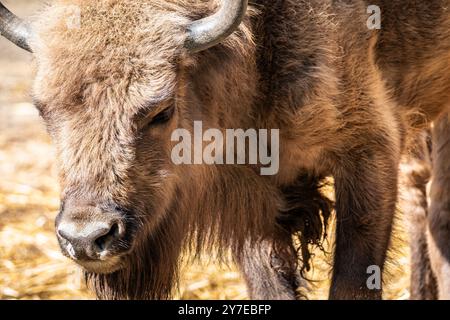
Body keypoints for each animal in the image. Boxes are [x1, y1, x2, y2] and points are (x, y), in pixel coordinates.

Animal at [0, 0, 450, 300]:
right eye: (42, 109)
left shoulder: (369, 148)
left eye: (162, 110)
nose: (87, 238)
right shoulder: (251, 201)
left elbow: (354, 279)